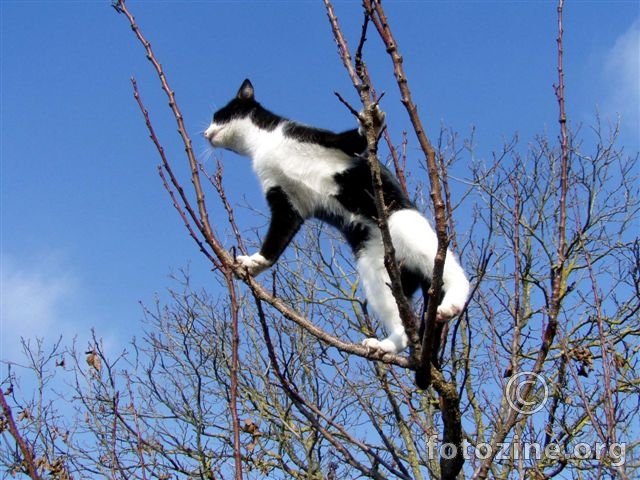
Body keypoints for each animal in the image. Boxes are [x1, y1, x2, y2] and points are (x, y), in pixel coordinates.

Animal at [206, 79, 470, 354]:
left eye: (218, 116)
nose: (205, 133)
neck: (264, 144)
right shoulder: (288, 202)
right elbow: (276, 240)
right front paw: (254, 263)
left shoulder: (323, 140)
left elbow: (354, 138)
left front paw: (372, 120)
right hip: (375, 268)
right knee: (404, 324)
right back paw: (385, 345)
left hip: (405, 226)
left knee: (454, 273)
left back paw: (452, 302)